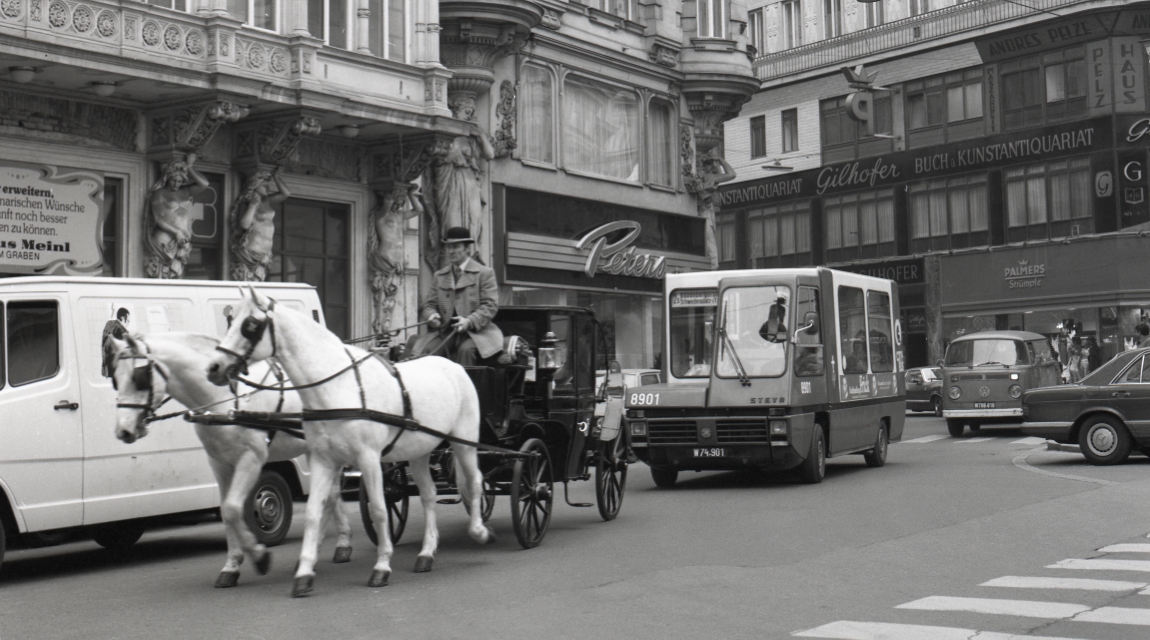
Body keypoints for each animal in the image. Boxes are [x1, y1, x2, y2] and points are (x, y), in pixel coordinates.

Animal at [108, 330, 351, 585]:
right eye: (115, 378)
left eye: (139, 378)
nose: (123, 431)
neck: (225, 398)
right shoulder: (219, 463)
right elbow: (226, 512)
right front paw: (231, 566)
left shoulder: (251, 458)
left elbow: (234, 508)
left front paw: (259, 556)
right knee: (332, 495)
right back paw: (336, 546)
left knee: (330, 496)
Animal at [207, 287, 494, 597]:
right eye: (231, 320)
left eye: (250, 326)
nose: (214, 368)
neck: (339, 388)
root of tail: (454, 366)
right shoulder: (324, 460)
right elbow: (314, 512)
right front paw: (305, 572)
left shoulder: (368, 458)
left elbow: (379, 510)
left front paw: (382, 566)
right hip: (419, 450)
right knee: (429, 495)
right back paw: (427, 553)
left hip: (464, 441)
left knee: (475, 481)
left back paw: (479, 531)